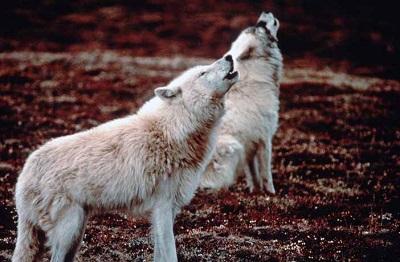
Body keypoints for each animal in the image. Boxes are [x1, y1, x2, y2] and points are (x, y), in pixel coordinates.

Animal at [11, 55, 238, 262]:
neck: (173, 130)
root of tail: (24, 173)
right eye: (203, 73)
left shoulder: (166, 211)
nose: (229, 56)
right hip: (70, 230)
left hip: (76, 233)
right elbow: (171, 254)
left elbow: (159, 255)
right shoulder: (163, 207)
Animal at [199, 11, 282, 194]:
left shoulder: (250, 147)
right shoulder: (265, 139)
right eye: (261, 26)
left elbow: (253, 174)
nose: (265, 12)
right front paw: (271, 194)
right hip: (234, 147)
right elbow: (266, 173)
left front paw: (255, 191)